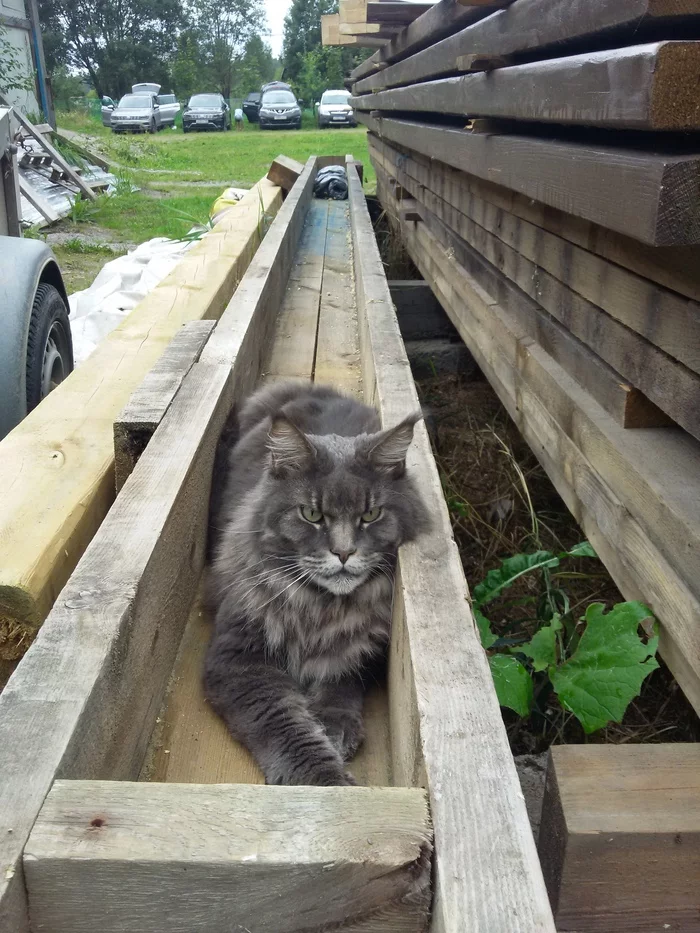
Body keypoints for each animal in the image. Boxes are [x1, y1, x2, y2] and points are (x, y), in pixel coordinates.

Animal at [205, 382, 430, 784]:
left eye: (371, 514)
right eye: (311, 514)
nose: (343, 552)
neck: (322, 608)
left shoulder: (362, 651)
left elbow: (340, 682)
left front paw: (333, 725)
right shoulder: (240, 662)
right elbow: (289, 729)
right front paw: (328, 781)